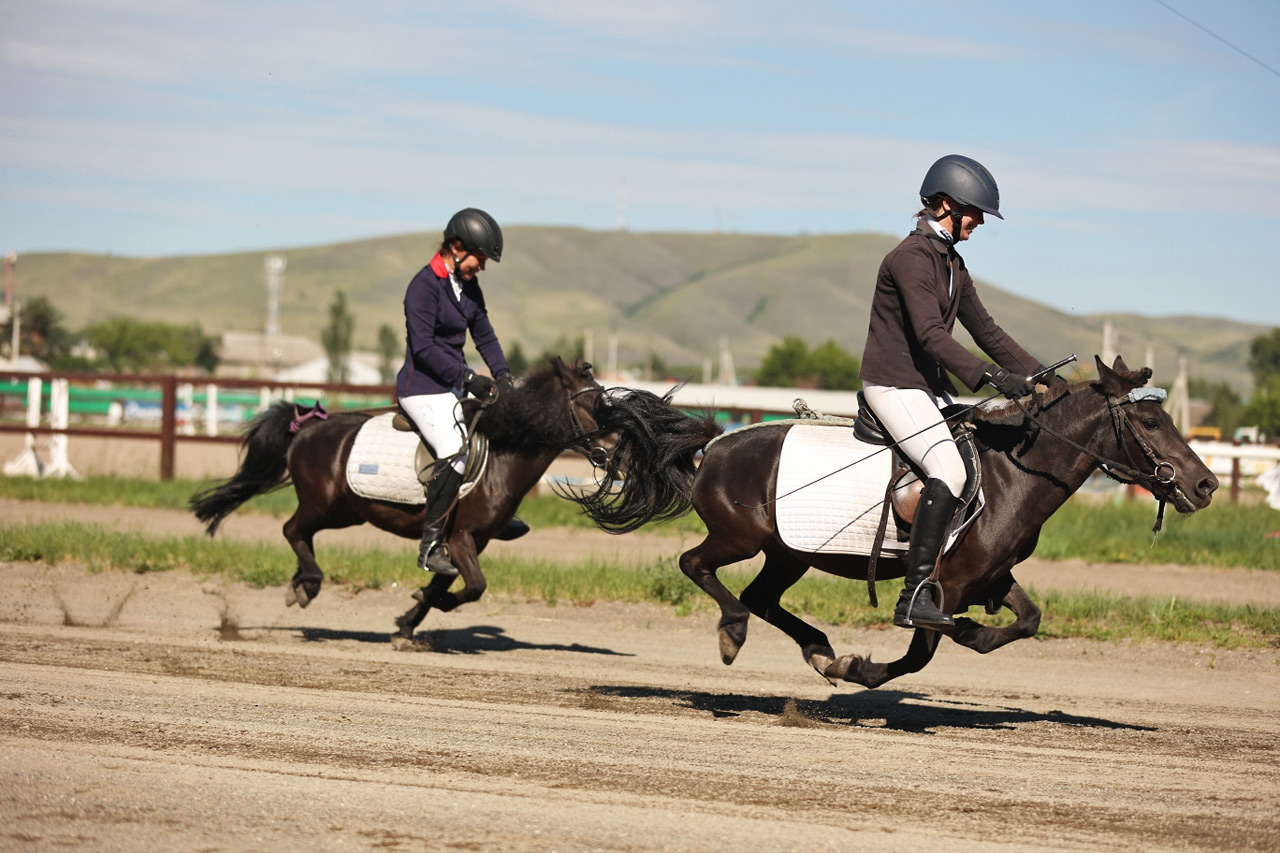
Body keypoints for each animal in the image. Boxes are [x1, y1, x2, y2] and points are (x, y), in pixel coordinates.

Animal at [189, 356, 609, 640]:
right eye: (594, 405)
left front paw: (407, 625)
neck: (503, 454)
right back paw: (308, 584)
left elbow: (446, 582)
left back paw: (299, 583)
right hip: (319, 503)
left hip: (344, 512)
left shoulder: (472, 542)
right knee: (291, 530)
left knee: (302, 535)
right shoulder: (460, 537)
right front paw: (426, 608)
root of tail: (308, 425)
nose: (616, 451)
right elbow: (473, 586)